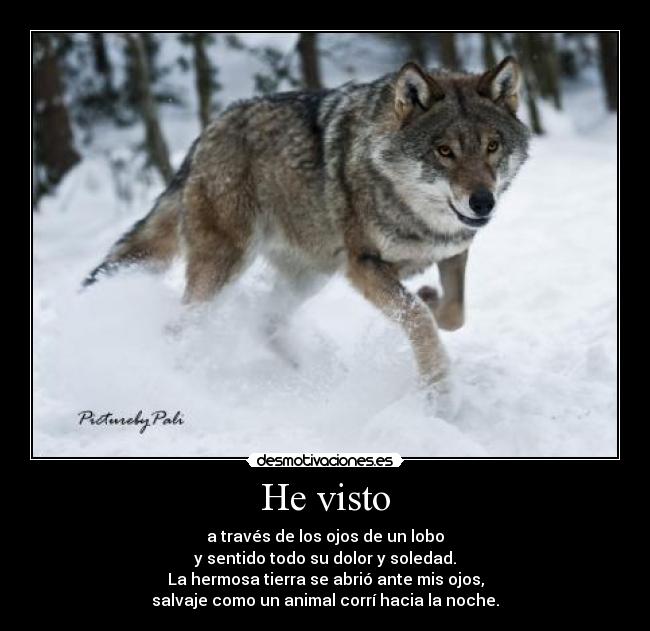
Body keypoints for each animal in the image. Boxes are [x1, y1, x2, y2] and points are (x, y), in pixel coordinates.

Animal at [84, 56, 530, 410]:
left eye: (492, 146)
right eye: (444, 151)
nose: (483, 202)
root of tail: (205, 135)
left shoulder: (452, 251)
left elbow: (453, 314)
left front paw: (432, 299)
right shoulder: (362, 266)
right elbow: (418, 319)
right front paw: (441, 395)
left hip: (310, 275)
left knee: (265, 322)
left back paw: (313, 375)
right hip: (226, 268)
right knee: (180, 327)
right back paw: (180, 383)